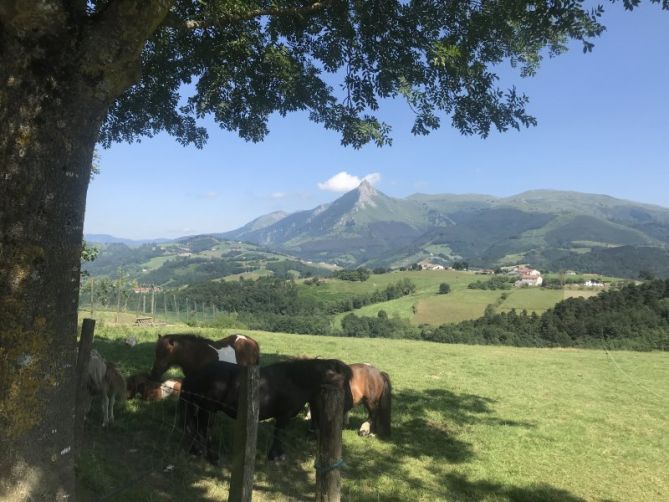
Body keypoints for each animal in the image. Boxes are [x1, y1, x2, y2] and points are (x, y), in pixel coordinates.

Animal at [177, 356, 354, 462]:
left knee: (196, 428)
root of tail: (195, 374)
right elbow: (279, 434)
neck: (294, 380)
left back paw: (196, 451)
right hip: (208, 409)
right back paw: (212, 457)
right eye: (342, 381)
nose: (350, 403)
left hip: (200, 407)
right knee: (204, 429)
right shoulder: (283, 416)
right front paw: (276, 456)